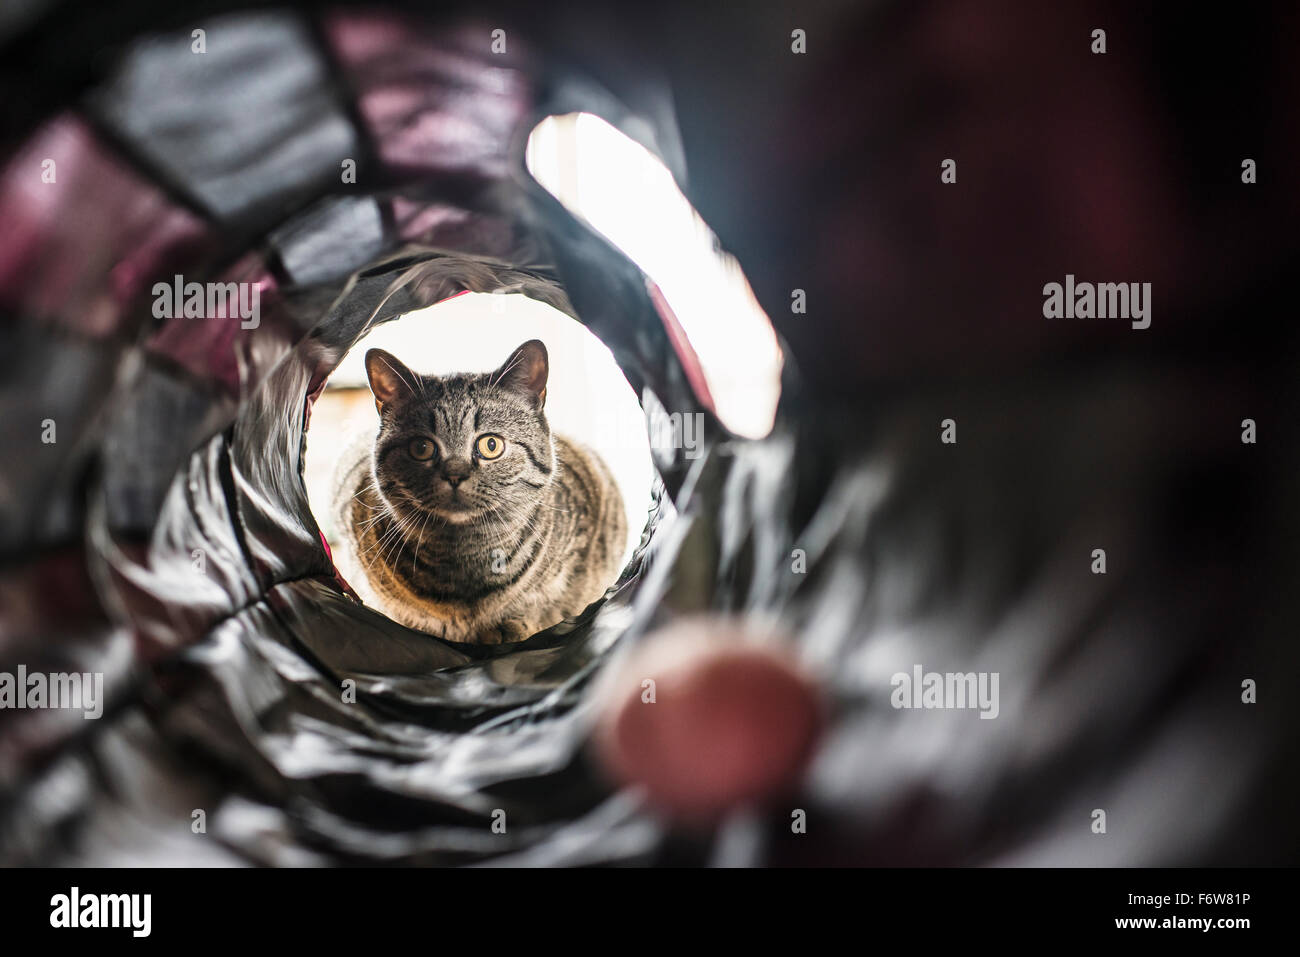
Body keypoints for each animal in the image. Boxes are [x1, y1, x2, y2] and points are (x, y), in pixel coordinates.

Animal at [330, 335, 624, 642]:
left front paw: (510, 626)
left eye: (491, 444)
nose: (455, 474)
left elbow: (548, 603)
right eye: (421, 448)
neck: (464, 558)